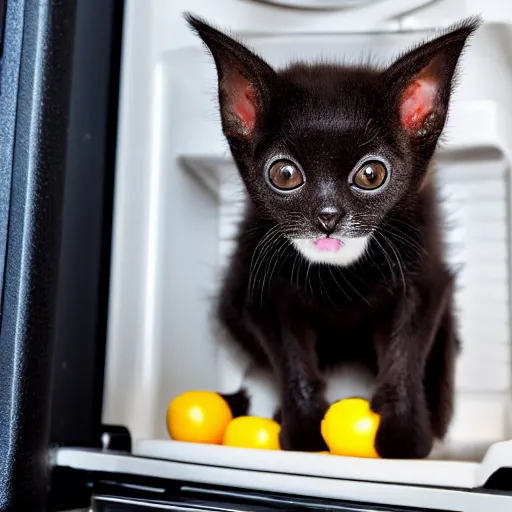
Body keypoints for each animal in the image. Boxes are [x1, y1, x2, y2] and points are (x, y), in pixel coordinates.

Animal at [187, 14, 480, 458]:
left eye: (371, 174)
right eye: (284, 174)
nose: (328, 217)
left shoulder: (424, 270)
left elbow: (406, 346)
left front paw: (403, 435)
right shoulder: (258, 286)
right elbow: (290, 354)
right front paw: (305, 432)